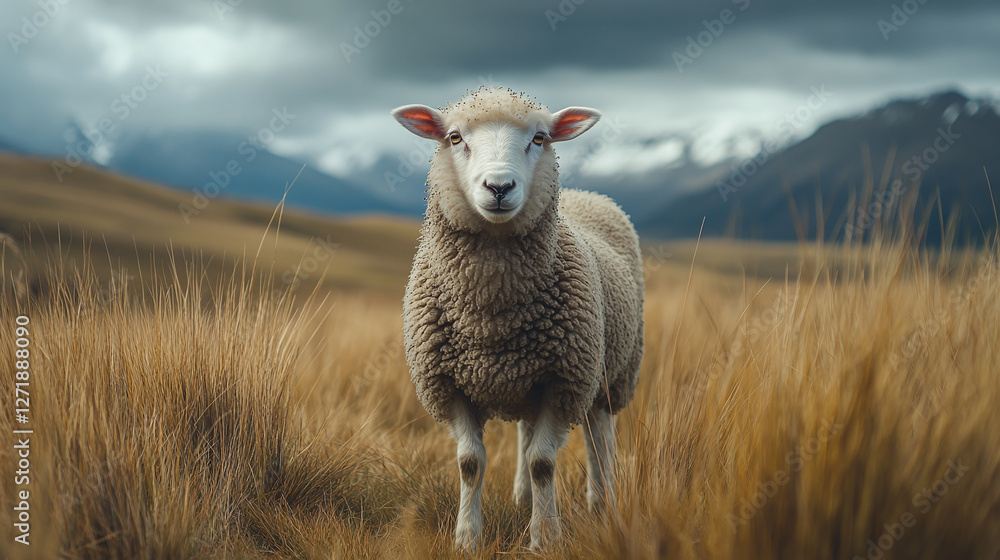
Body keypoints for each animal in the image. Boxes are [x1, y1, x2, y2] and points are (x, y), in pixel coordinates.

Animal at [391, 87, 644, 551]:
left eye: (540, 138)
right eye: (454, 137)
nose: (499, 186)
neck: (491, 319)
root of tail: (589, 195)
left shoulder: (564, 381)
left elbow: (544, 462)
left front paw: (545, 538)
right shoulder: (449, 383)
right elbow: (470, 463)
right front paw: (467, 538)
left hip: (608, 376)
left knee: (599, 439)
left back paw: (602, 503)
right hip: (529, 380)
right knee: (527, 437)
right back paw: (523, 499)